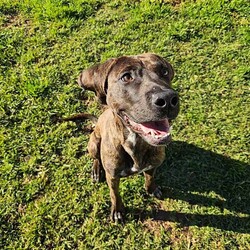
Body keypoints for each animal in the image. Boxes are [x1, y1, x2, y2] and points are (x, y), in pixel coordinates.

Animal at [74, 53, 180, 223]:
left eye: (164, 71)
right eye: (126, 77)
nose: (168, 99)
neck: (136, 141)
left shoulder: (153, 165)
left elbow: (150, 178)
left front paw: (152, 189)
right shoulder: (112, 176)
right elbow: (114, 194)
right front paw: (118, 211)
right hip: (94, 143)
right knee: (96, 157)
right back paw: (96, 170)